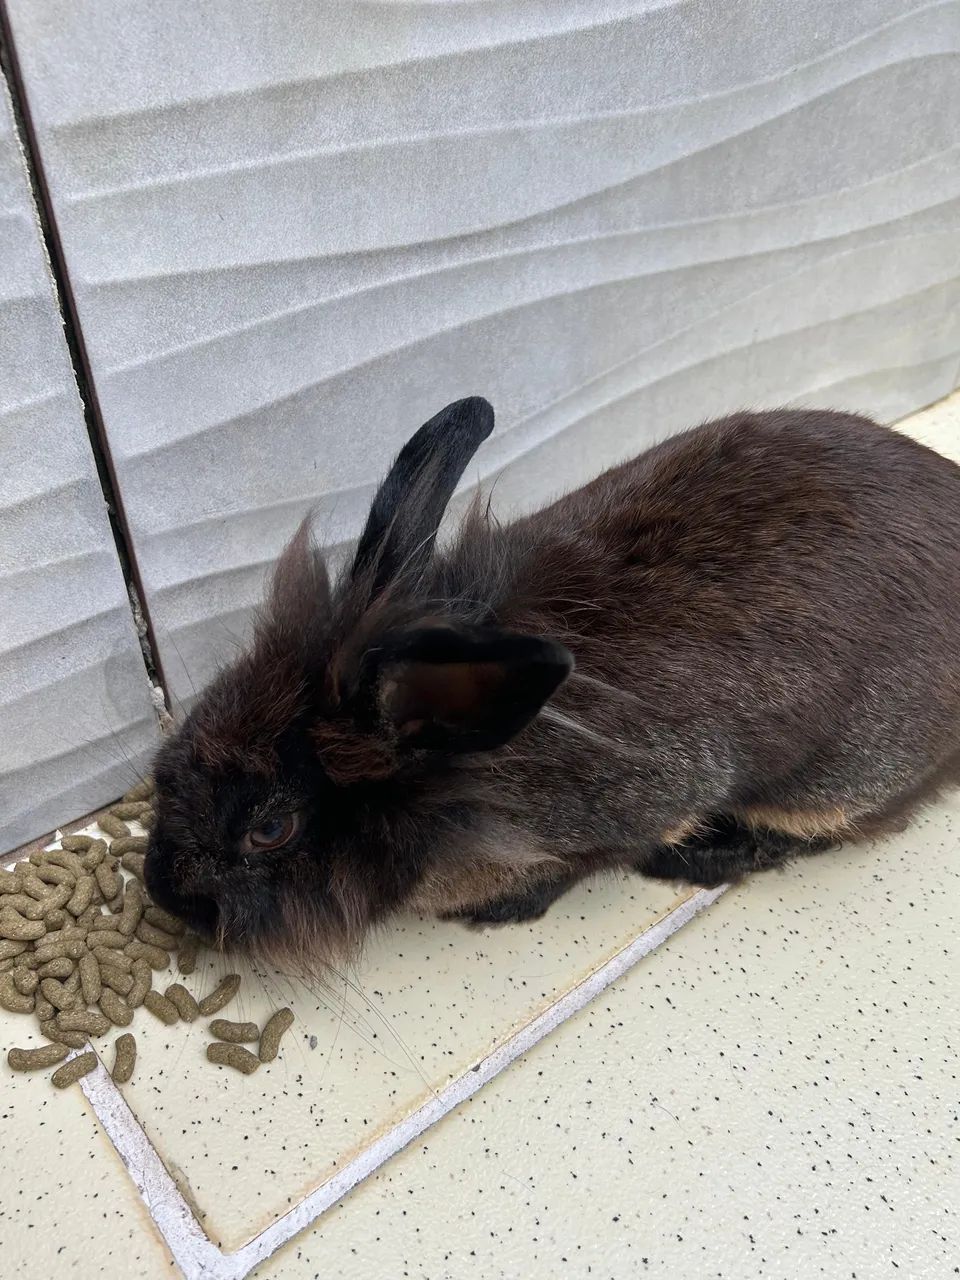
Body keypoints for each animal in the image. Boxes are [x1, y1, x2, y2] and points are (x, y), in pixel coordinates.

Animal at [144, 396, 960, 967]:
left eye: (269, 830)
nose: (163, 893)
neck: (458, 780)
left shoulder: (637, 808)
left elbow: (585, 863)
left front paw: (494, 911)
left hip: (838, 777)